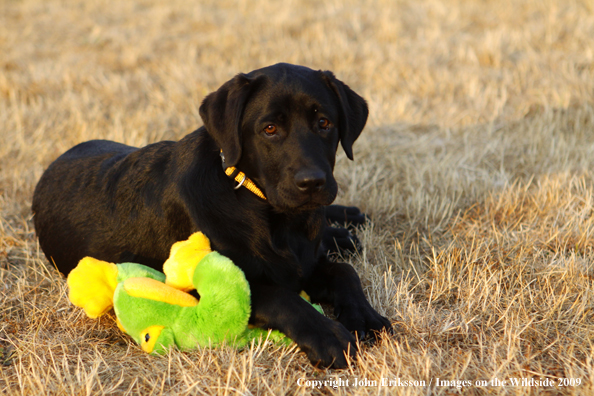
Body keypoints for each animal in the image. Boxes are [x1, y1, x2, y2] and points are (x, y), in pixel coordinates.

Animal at [34, 62, 390, 368]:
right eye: (270, 128)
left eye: (324, 123)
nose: (312, 183)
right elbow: (282, 297)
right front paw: (329, 335)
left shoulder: (306, 261)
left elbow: (345, 272)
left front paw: (366, 317)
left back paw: (345, 223)